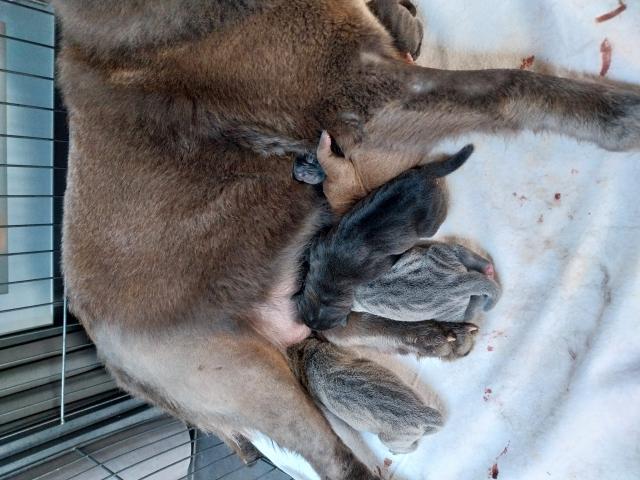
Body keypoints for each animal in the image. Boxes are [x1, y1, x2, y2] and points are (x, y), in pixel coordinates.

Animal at [352, 244, 502, 322]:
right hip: (443, 252)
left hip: (451, 316)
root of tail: (455, 282)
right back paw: (488, 269)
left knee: (470, 313)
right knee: (465, 254)